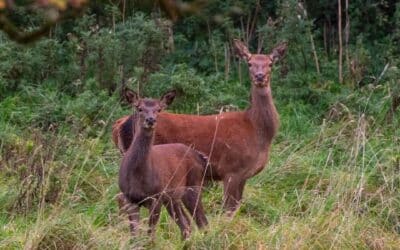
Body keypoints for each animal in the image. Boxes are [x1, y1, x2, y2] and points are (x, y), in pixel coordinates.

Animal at [114, 40, 286, 216]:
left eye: (270, 63)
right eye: (250, 63)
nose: (260, 76)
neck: (256, 129)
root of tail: (121, 124)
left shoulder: (243, 175)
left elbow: (236, 207)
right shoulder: (231, 169)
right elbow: (228, 210)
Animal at [118, 90, 208, 238]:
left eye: (158, 109)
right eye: (139, 108)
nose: (150, 120)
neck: (137, 175)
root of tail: (199, 156)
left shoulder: (156, 197)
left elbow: (150, 235)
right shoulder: (129, 198)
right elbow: (134, 236)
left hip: (193, 185)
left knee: (202, 221)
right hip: (173, 198)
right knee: (185, 225)